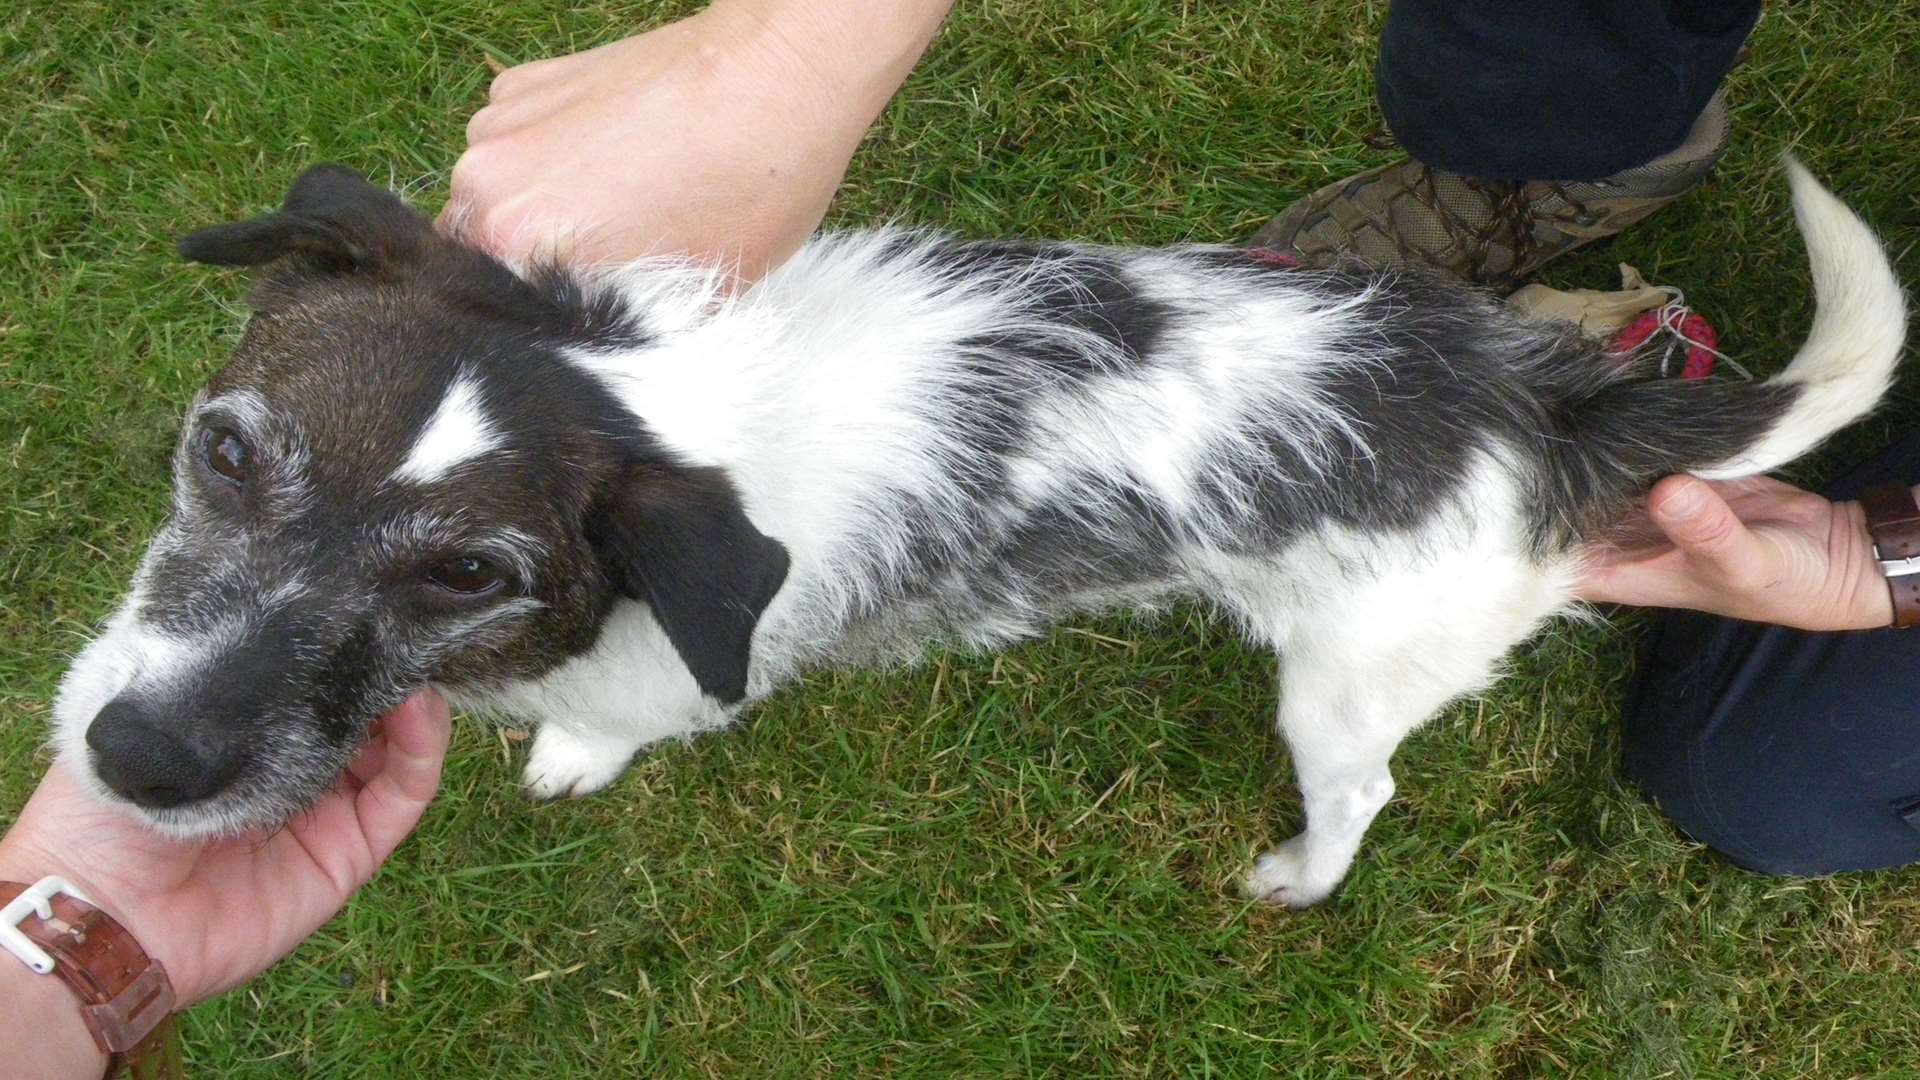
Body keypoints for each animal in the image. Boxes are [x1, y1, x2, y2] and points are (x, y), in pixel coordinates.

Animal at [52, 157, 1896, 899]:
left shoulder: (667, 670)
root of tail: (1549, 414)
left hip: (1346, 682)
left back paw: (1304, 874)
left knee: (1362, 787)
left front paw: (571, 756)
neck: (666, 412)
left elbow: (611, 722)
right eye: (226, 451)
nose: (136, 761)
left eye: (467, 574)